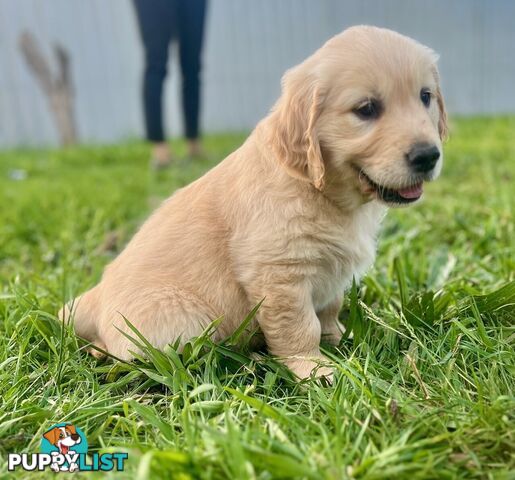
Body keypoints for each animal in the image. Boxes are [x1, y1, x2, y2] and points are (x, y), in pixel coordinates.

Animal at [61, 26, 448, 378]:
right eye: (366, 109)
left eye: (425, 96)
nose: (428, 156)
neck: (318, 187)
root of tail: (93, 297)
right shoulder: (279, 274)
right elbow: (299, 326)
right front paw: (314, 369)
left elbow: (328, 309)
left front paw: (339, 338)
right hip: (184, 320)